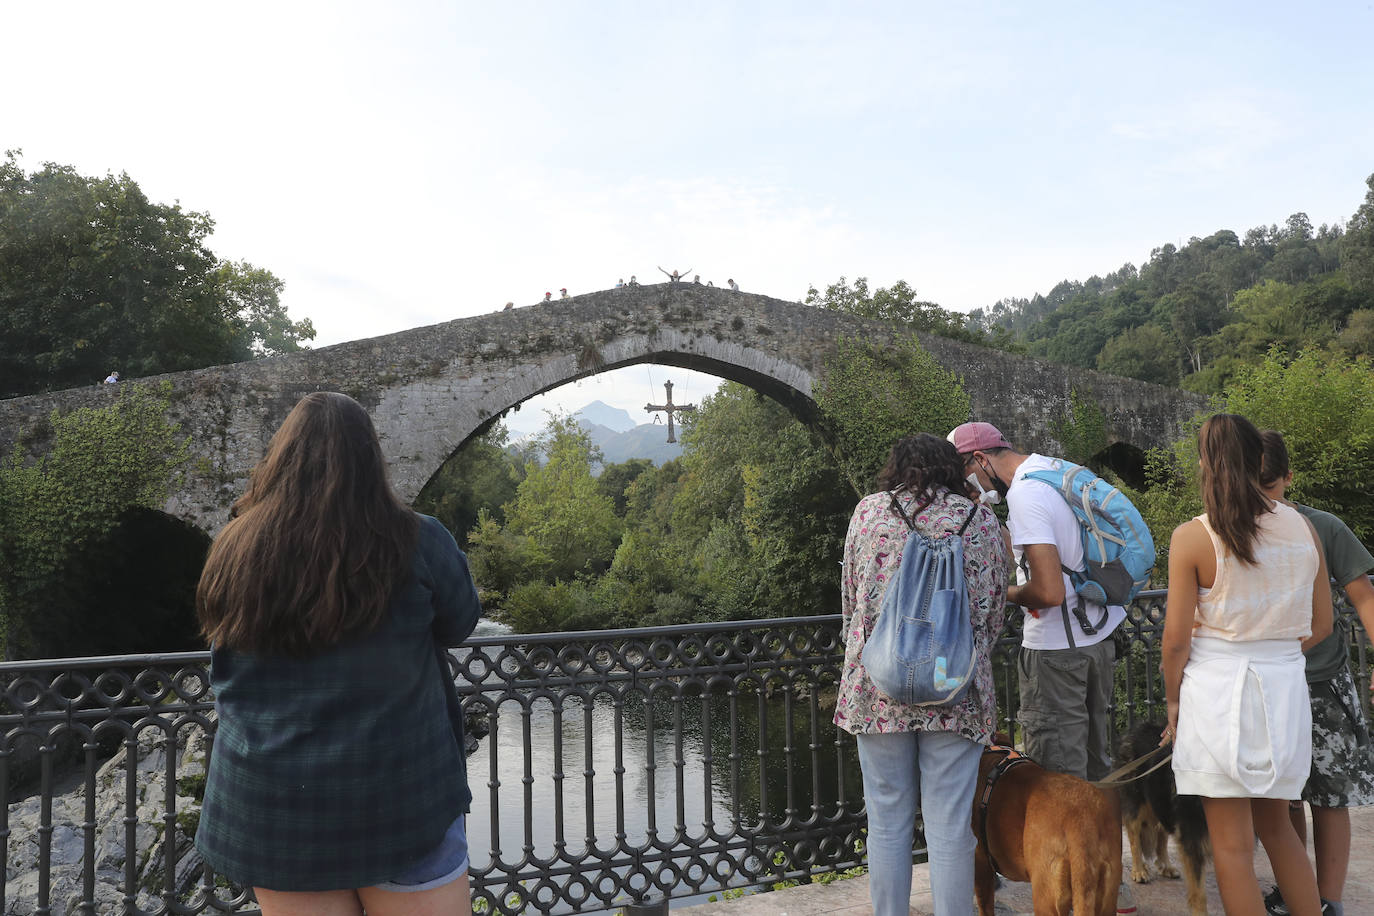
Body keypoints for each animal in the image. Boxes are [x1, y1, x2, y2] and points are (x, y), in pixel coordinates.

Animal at [1115, 725, 1214, 916]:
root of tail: (1136, 729)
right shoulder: (1193, 840)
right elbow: (1199, 894)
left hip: (1161, 804)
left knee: (1161, 839)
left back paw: (1165, 866)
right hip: (1137, 803)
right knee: (1134, 838)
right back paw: (1139, 870)